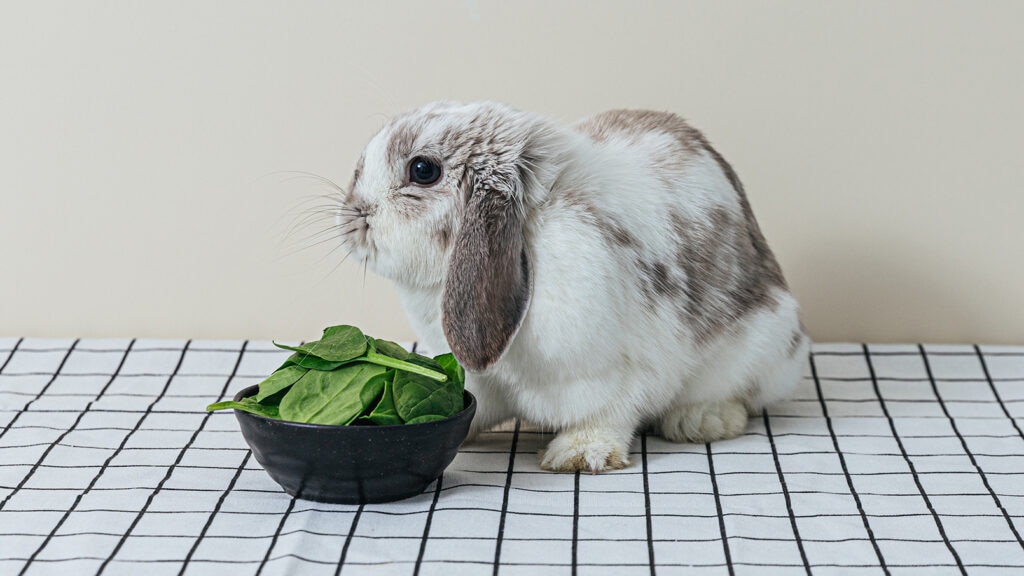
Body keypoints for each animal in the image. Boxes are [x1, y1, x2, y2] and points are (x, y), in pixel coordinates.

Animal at [338, 101, 808, 472]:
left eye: (422, 170)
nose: (351, 217)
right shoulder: (478, 378)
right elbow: (473, 402)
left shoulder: (626, 370)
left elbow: (608, 414)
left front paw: (579, 455)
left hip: (763, 345)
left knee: (743, 393)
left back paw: (702, 421)